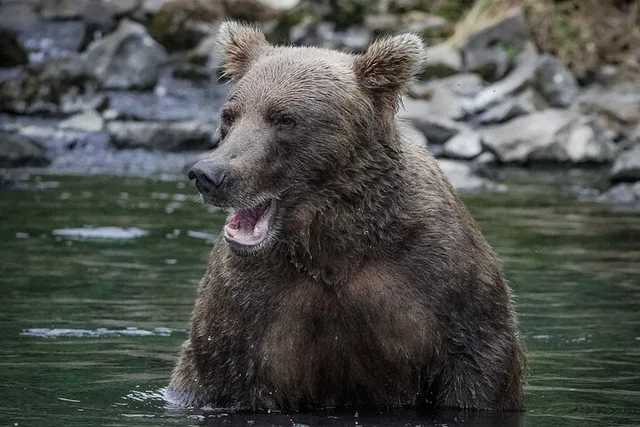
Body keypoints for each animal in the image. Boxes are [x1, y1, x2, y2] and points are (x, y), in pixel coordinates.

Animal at [167, 21, 526, 412]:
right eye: (230, 115)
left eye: (285, 119)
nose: (209, 174)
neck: (332, 240)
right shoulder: (245, 300)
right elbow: (222, 369)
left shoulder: (439, 274)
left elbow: (476, 360)